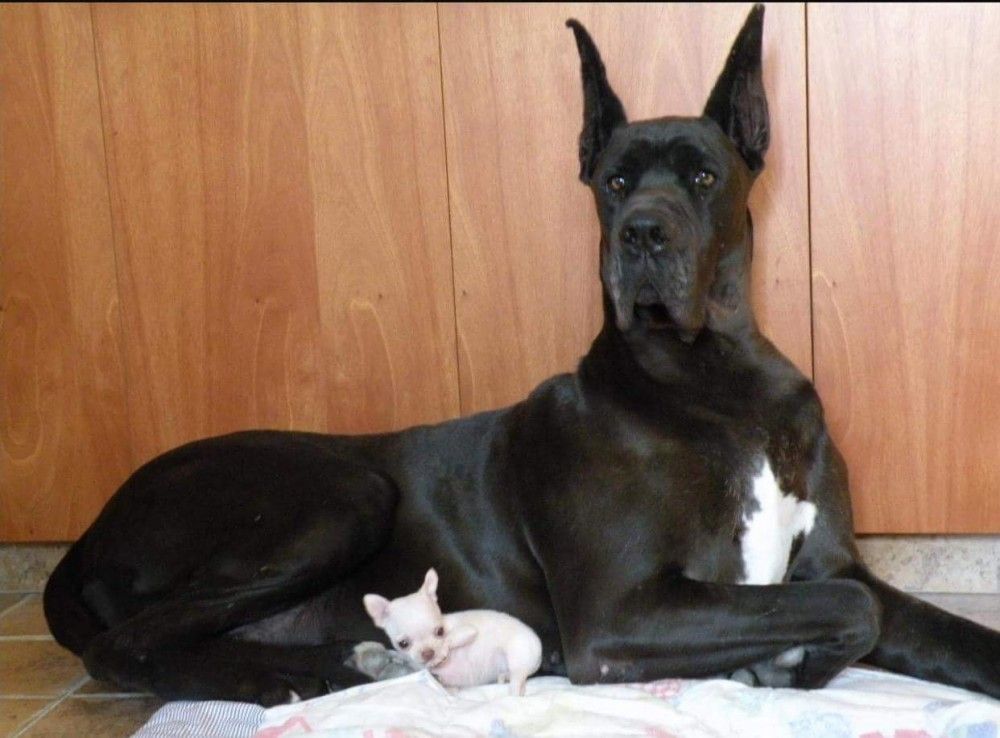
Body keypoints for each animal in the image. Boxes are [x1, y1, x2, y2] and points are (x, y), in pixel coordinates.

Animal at [364, 568, 543, 695]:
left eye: (440, 631)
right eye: (403, 644)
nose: (428, 653)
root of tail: (538, 647)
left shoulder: (467, 631)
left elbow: (451, 639)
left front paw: (442, 652)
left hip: (518, 660)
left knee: (517, 686)